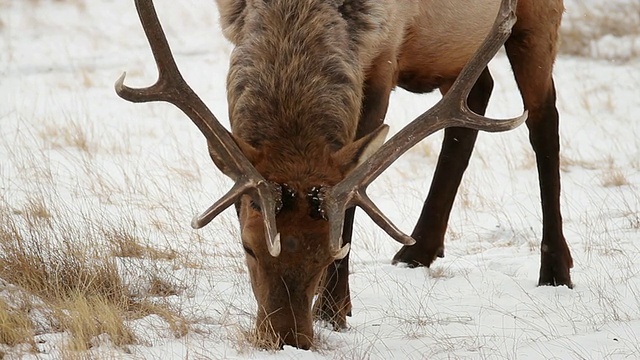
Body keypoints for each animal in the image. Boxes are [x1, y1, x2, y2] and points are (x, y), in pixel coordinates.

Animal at [116, 0, 576, 350]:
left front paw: (333, 311)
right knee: (478, 95)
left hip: (536, 17)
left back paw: (556, 268)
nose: (287, 340)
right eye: (247, 247)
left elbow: (354, 197)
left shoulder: (384, 55)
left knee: (544, 117)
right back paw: (418, 250)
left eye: (329, 255)